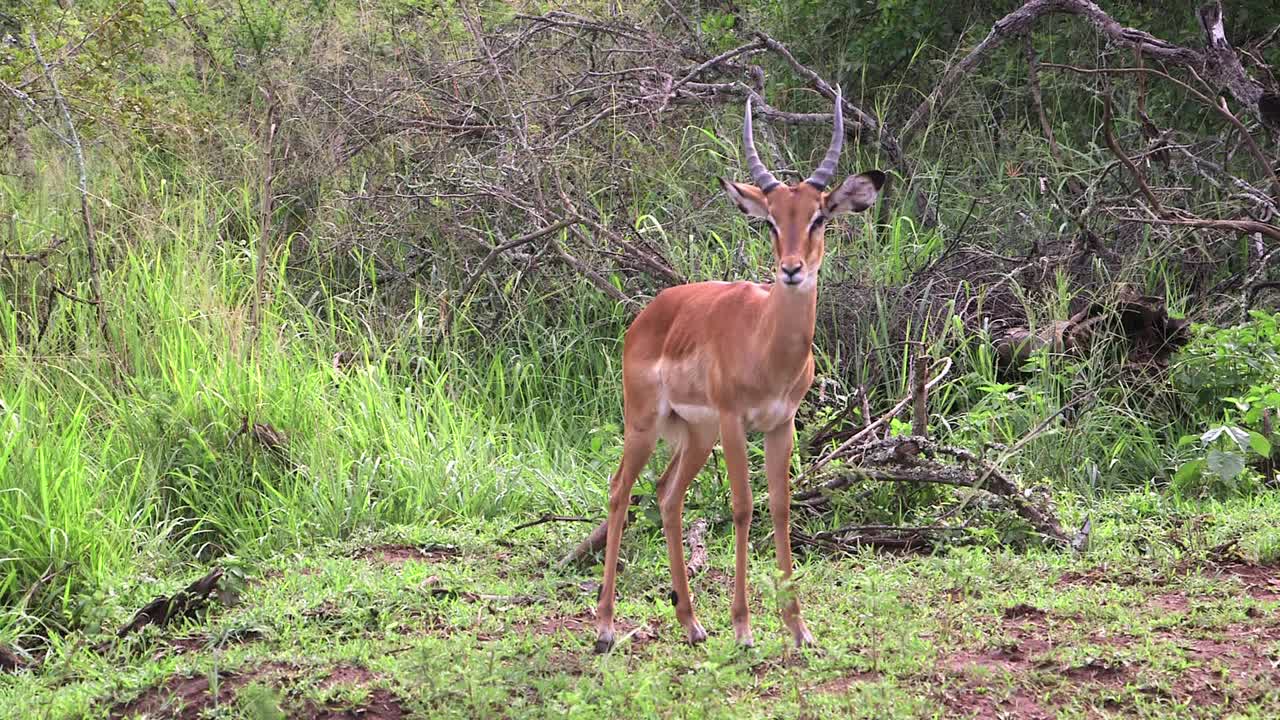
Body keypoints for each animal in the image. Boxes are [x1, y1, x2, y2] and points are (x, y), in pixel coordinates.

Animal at [594, 90, 885, 653]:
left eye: (818, 217)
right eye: (770, 220)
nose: (791, 269)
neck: (765, 345)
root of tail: (648, 315)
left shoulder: (780, 424)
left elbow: (780, 506)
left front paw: (799, 628)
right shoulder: (734, 421)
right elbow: (744, 506)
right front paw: (745, 627)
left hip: (695, 434)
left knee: (666, 494)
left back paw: (691, 623)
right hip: (645, 423)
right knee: (620, 491)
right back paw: (604, 628)